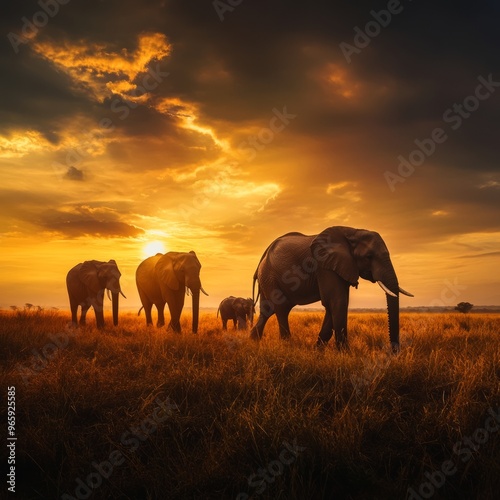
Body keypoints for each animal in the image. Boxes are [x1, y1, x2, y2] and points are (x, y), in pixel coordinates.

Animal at [252, 227, 412, 352]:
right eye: (368, 256)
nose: (394, 353)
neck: (353, 232)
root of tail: (263, 257)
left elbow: (334, 304)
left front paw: (317, 351)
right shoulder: (325, 267)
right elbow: (337, 301)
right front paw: (346, 355)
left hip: (267, 278)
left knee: (267, 311)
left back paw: (252, 341)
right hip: (271, 276)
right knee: (281, 308)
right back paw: (287, 346)